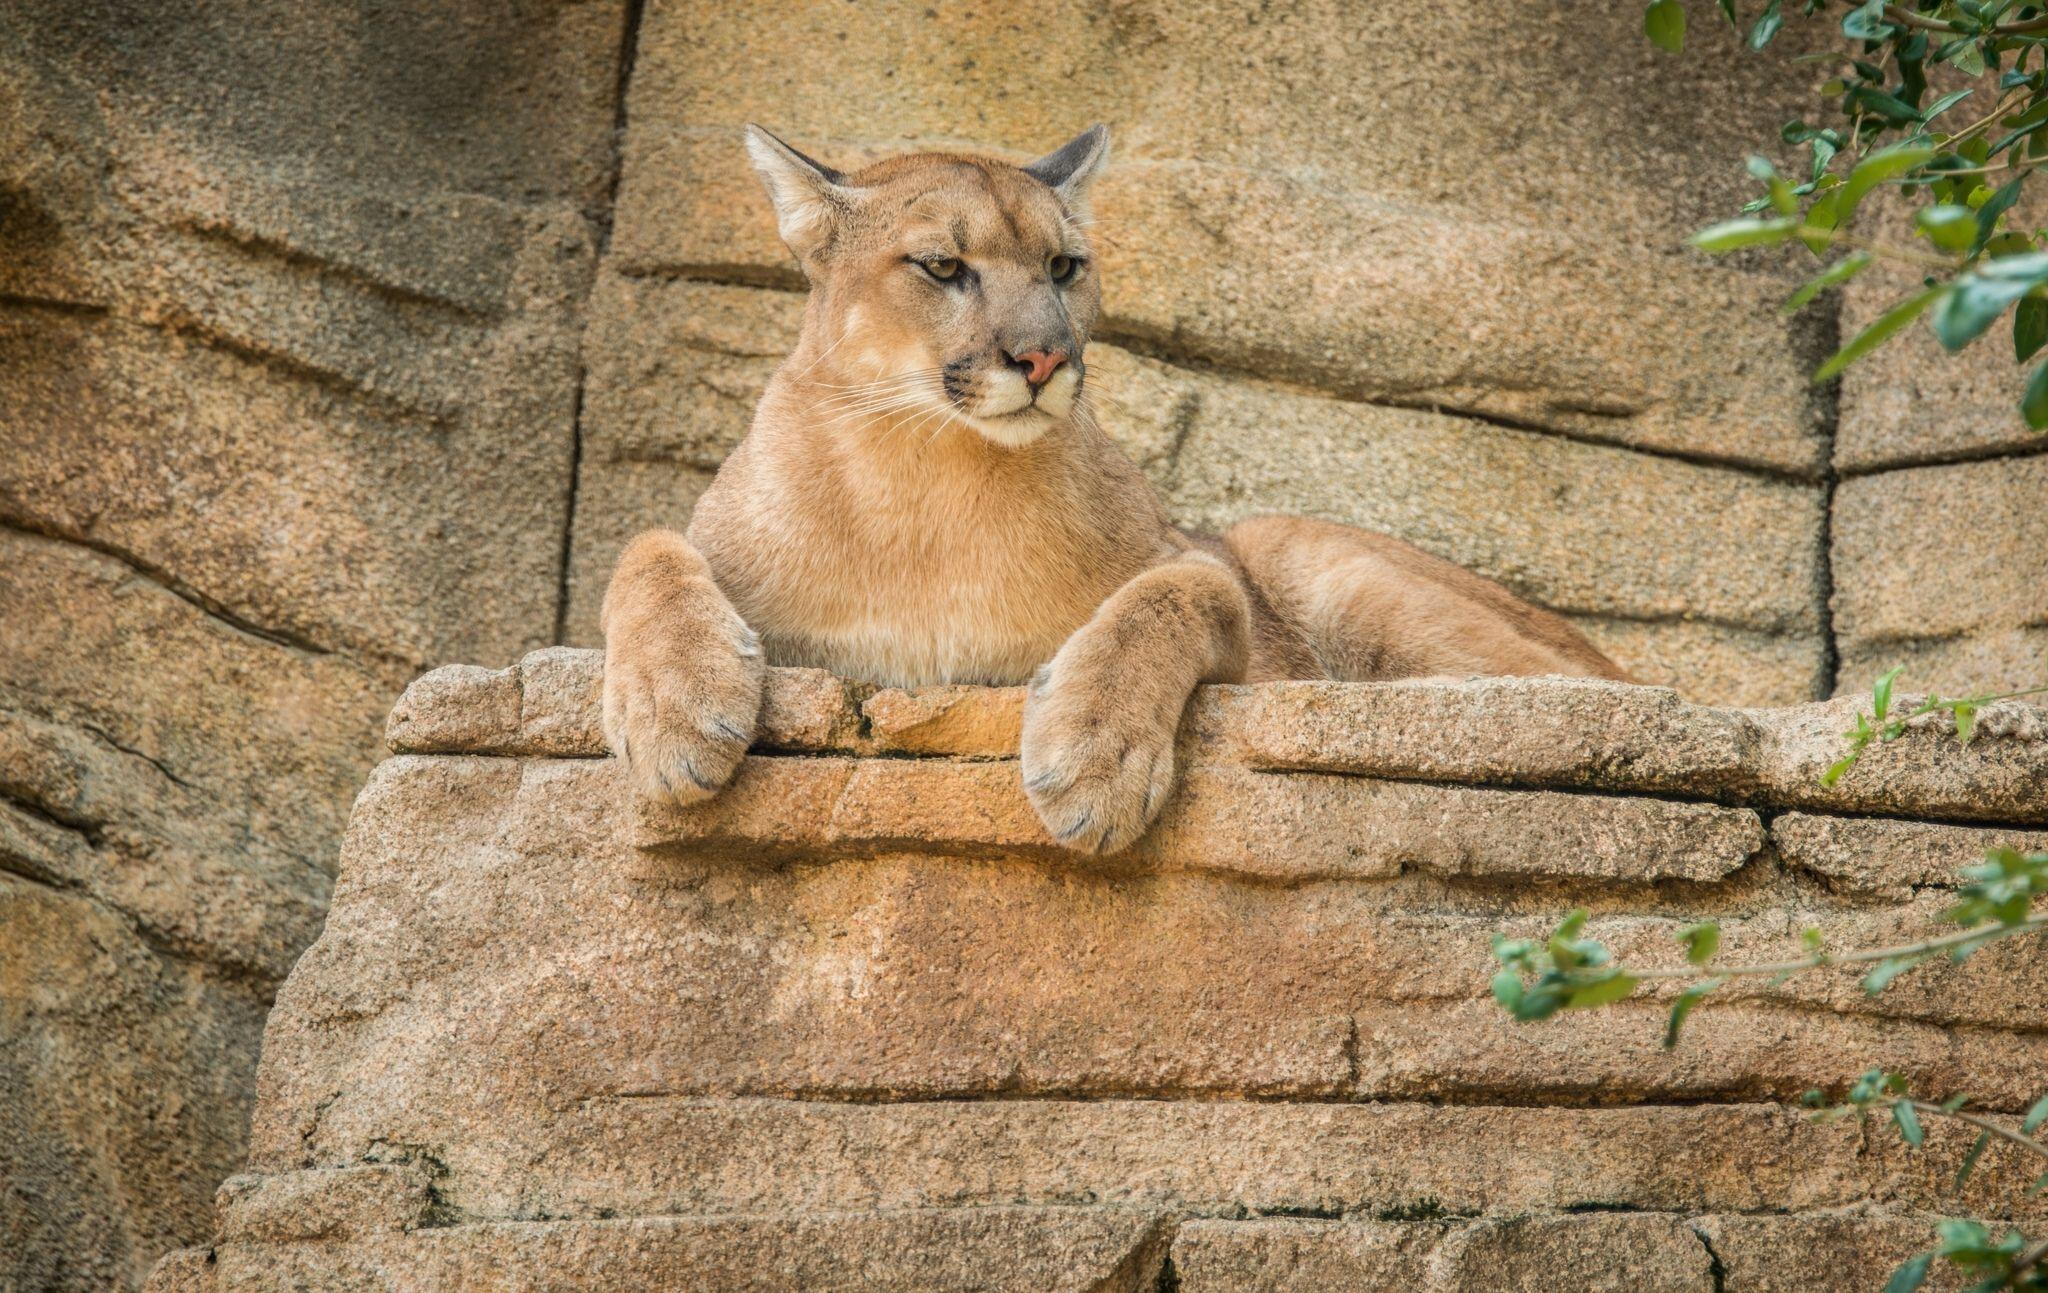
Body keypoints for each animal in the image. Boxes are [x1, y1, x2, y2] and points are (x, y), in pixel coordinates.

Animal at [600, 124, 1628, 854]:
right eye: (943, 266)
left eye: (1065, 266)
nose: (1044, 357)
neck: (928, 475)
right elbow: (644, 549)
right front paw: (675, 708)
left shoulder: (1206, 577)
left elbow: (1173, 594)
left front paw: (1092, 751)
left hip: (1316, 559)